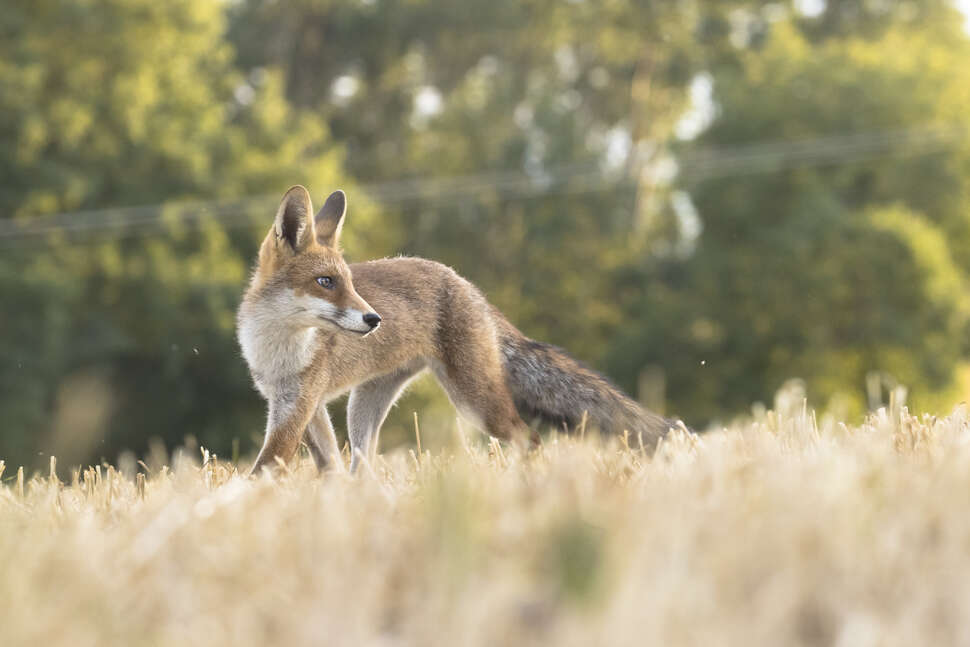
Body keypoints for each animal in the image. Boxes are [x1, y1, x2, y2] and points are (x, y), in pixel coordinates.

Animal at [236, 185, 672, 474]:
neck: (277, 347)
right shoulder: (300, 404)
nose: (374, 319)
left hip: (475, 401)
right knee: (365, 464)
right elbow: (329, 466)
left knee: (529, 439)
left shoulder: (299, 404)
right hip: (365, 405)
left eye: (350, 283)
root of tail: (469, 286)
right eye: (326, 282)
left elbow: (264, 469)